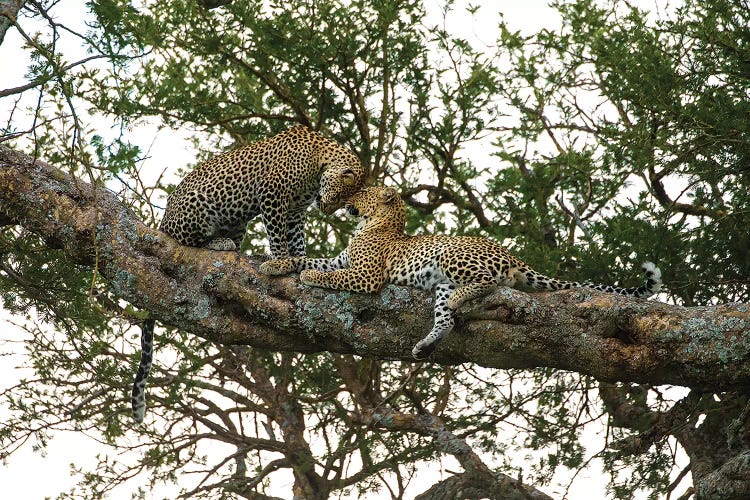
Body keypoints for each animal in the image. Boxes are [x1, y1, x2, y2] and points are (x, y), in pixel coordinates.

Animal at [132, 126, 368, 422]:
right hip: (201, 204)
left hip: (237, 221)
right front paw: (280, 261)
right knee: (185, 240)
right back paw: (218, 243)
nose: (325, 209)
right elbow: (277, 236)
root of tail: (162, 223)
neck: (319, 163)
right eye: (337, 198)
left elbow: (296, 240)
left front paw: (298, 261)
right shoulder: (273, 193)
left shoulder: (295, 211)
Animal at [260, 187, 664, 360]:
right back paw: (426, 343)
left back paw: (457, 301)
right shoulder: (341, 261)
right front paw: (273, 263)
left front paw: (309, 279)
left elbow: (325, 275)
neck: (375, 225)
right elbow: (307, 260)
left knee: (485, 283)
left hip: (451, 256)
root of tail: (511, 254)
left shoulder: (365, 275)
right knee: (446, 320)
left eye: (363, 192)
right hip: (439, 286)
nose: (345, 202)